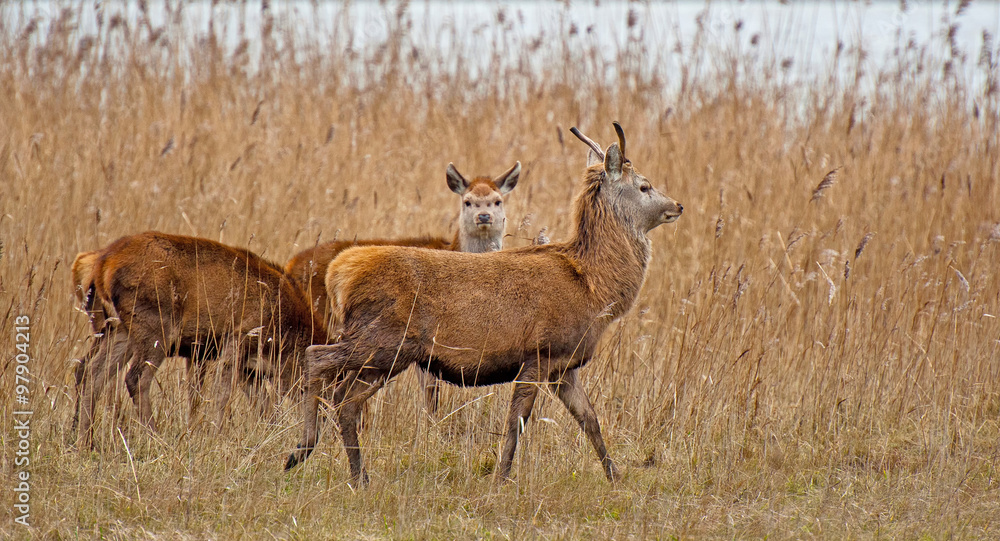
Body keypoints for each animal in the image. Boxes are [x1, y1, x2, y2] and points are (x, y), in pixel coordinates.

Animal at [73, 231, 328, 449]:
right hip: (155, 330)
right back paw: (156, 438)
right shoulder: (237, 341)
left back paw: (86, 442)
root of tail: (103, 263)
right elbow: (223, 395)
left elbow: (262, 404)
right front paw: (218, 435)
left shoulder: (249, 367)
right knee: (135, 377)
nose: (326, 420)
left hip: (119, 331)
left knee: (92, 374)